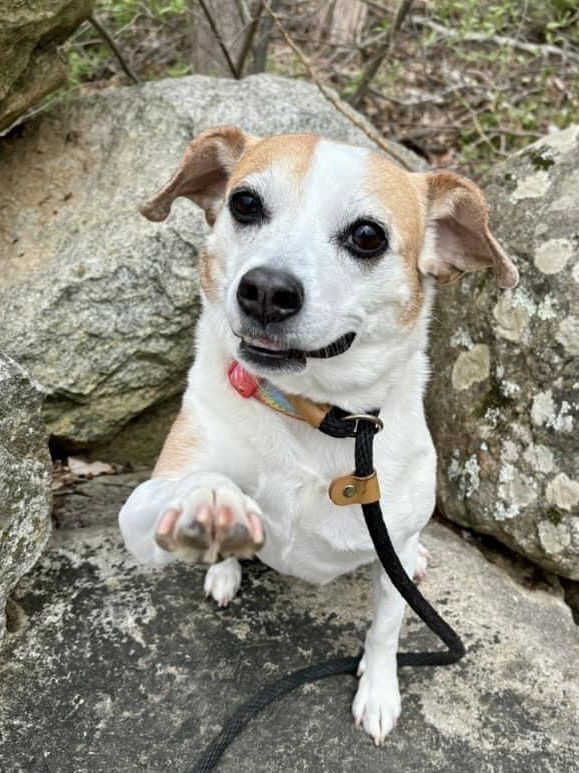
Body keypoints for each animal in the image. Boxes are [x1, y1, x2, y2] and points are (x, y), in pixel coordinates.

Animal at [119, 126, 520, 740]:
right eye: (244, 203)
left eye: (367, 236)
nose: (265, 289)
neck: (313, 414)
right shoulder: (143, 506)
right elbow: (192, 489)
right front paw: (212, 504)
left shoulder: (391, 545)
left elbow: (386, 629)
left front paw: (378, 691)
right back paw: (223, 564)